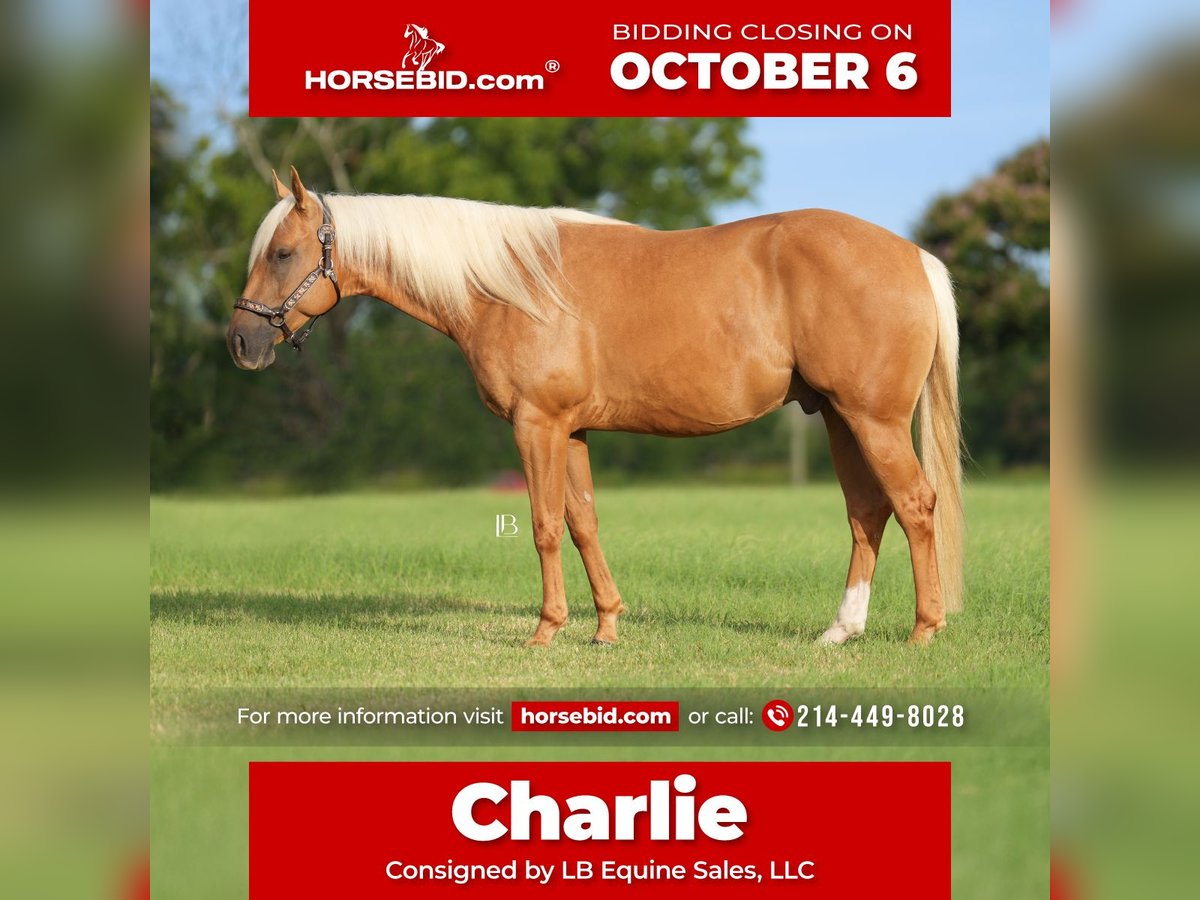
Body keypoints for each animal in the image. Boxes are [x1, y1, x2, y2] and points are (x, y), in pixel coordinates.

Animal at [228, 167, 964, 647]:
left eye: (284, 252)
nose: (241, 342)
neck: (507, 286)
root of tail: (912, 256)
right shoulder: (571, 430)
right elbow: (583, 523)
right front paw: (606, 626)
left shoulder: (537, 425)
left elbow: (544, 526)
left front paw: (546, 631)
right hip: (840, 418)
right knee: (867, 513)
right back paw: (841, 630)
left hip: (873, 421)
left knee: (916, 505)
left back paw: (924, 631)